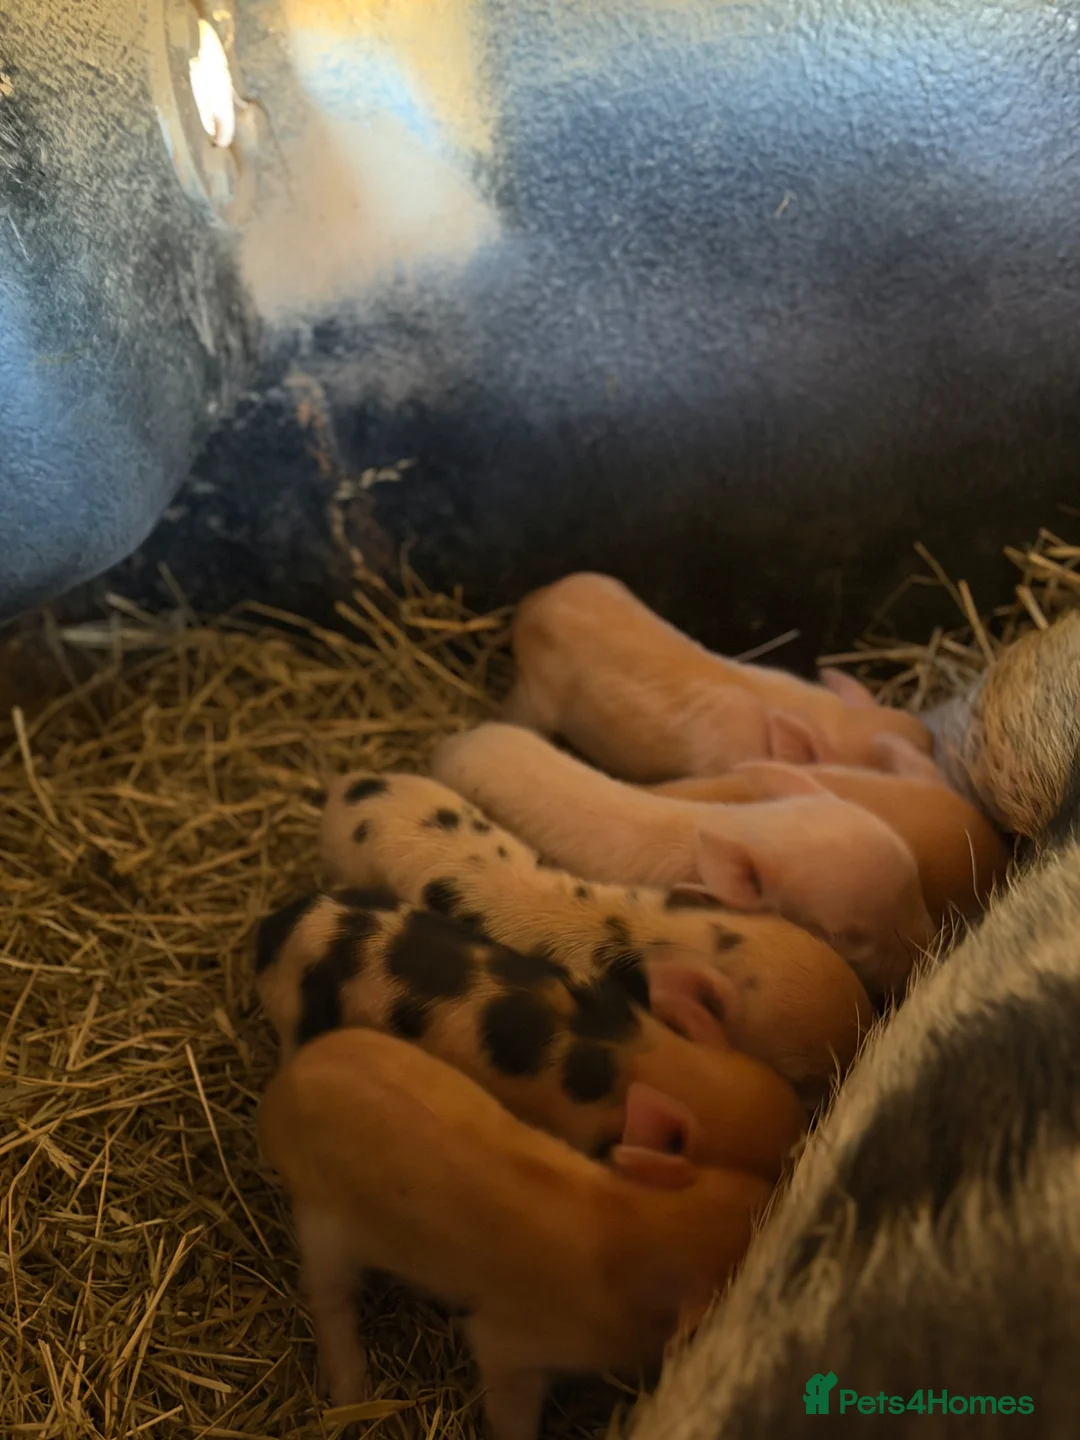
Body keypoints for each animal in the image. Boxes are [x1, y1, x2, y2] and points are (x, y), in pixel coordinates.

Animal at [258, 1027, 774, 1440]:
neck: (637, 1232)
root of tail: (279, 1095)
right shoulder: (510, 1343)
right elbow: (509, 1402)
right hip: (321, 1220)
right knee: (328, 1295)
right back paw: (350, 1391)